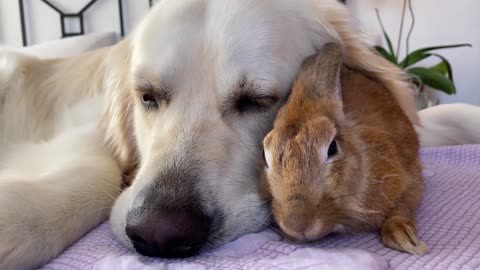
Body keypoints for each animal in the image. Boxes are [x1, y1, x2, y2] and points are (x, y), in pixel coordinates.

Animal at [260, 42, 430, 255]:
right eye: (265, 157)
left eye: (332, 148)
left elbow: (404, 205)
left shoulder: (411, 176)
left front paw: (404, 238)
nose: (297, 224)